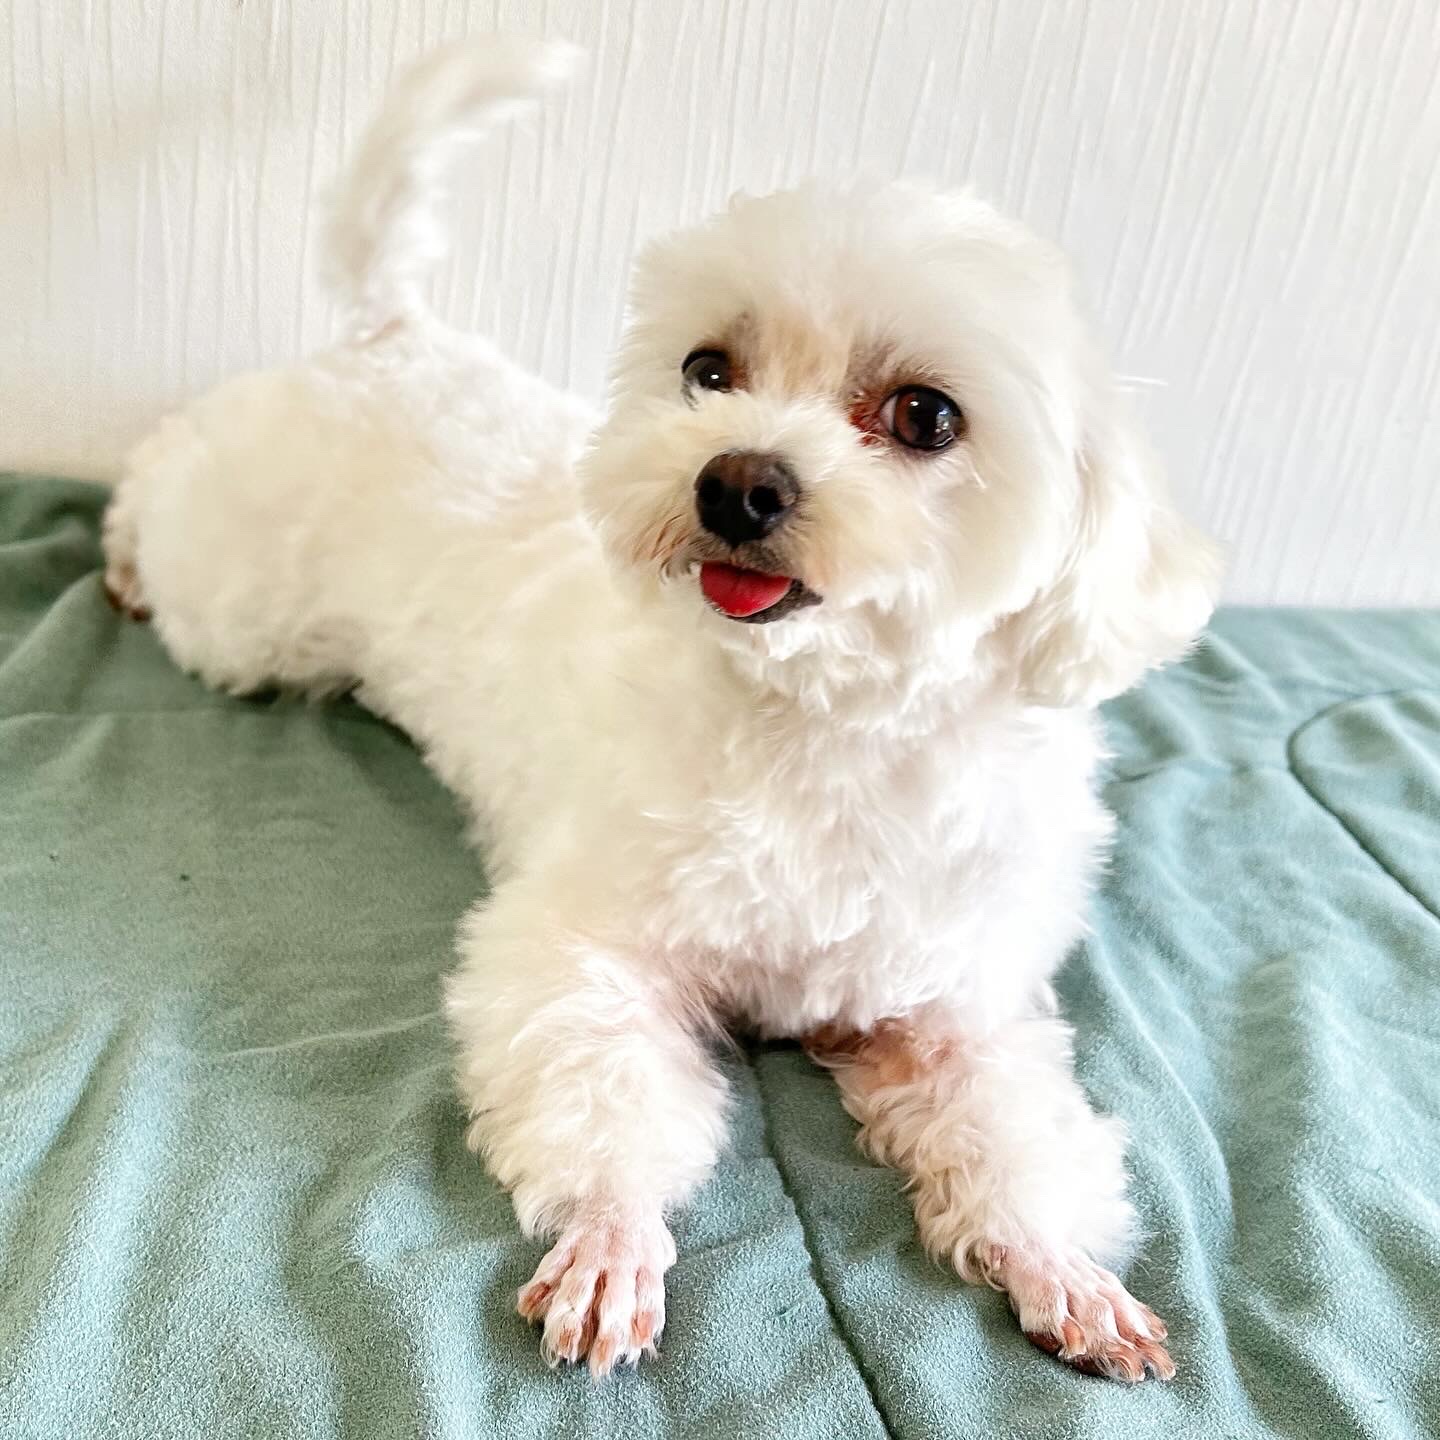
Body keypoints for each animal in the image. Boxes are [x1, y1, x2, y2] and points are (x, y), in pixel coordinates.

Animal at [104, 38, 1219, 1381]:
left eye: (925, 414)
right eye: (708, 371)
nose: (736, 482)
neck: (818, 730)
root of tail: (393, 335)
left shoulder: (957, 1003)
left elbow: (1015, 1135)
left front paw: (1062, 1263)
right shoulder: (584, 947)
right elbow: (605, 1093)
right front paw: (611, 1238)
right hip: (242, 605)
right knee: (156, 485)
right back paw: (120, 553)